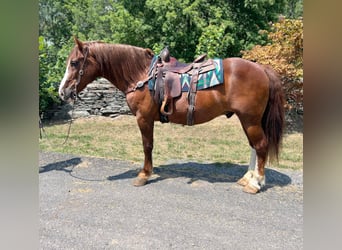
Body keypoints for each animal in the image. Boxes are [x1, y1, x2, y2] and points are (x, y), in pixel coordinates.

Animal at [59, 37, 286, 193]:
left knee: (260, 146)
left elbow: (147, 146)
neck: (141, 75)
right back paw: (247, 178)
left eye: (74, 62)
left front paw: (144, 175)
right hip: (248, 120)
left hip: (250, 120)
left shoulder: (143, 118)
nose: (62, 92)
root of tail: (261, 69)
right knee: (254, 147)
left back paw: (255, 183)